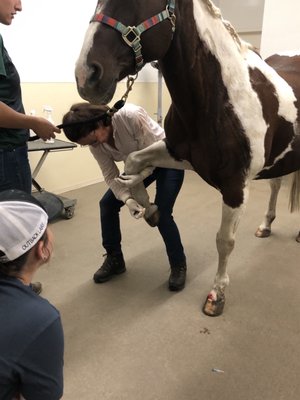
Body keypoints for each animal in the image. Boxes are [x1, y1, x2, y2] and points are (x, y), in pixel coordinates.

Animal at [74, 0, 300, 318]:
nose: (86, 75)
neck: (220, 99)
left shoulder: (235, 186)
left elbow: (224, 241)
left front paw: (216, 295)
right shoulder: (177, 153)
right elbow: (132, 161)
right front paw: (147, 205)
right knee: (276, 185)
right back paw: (266, 226)